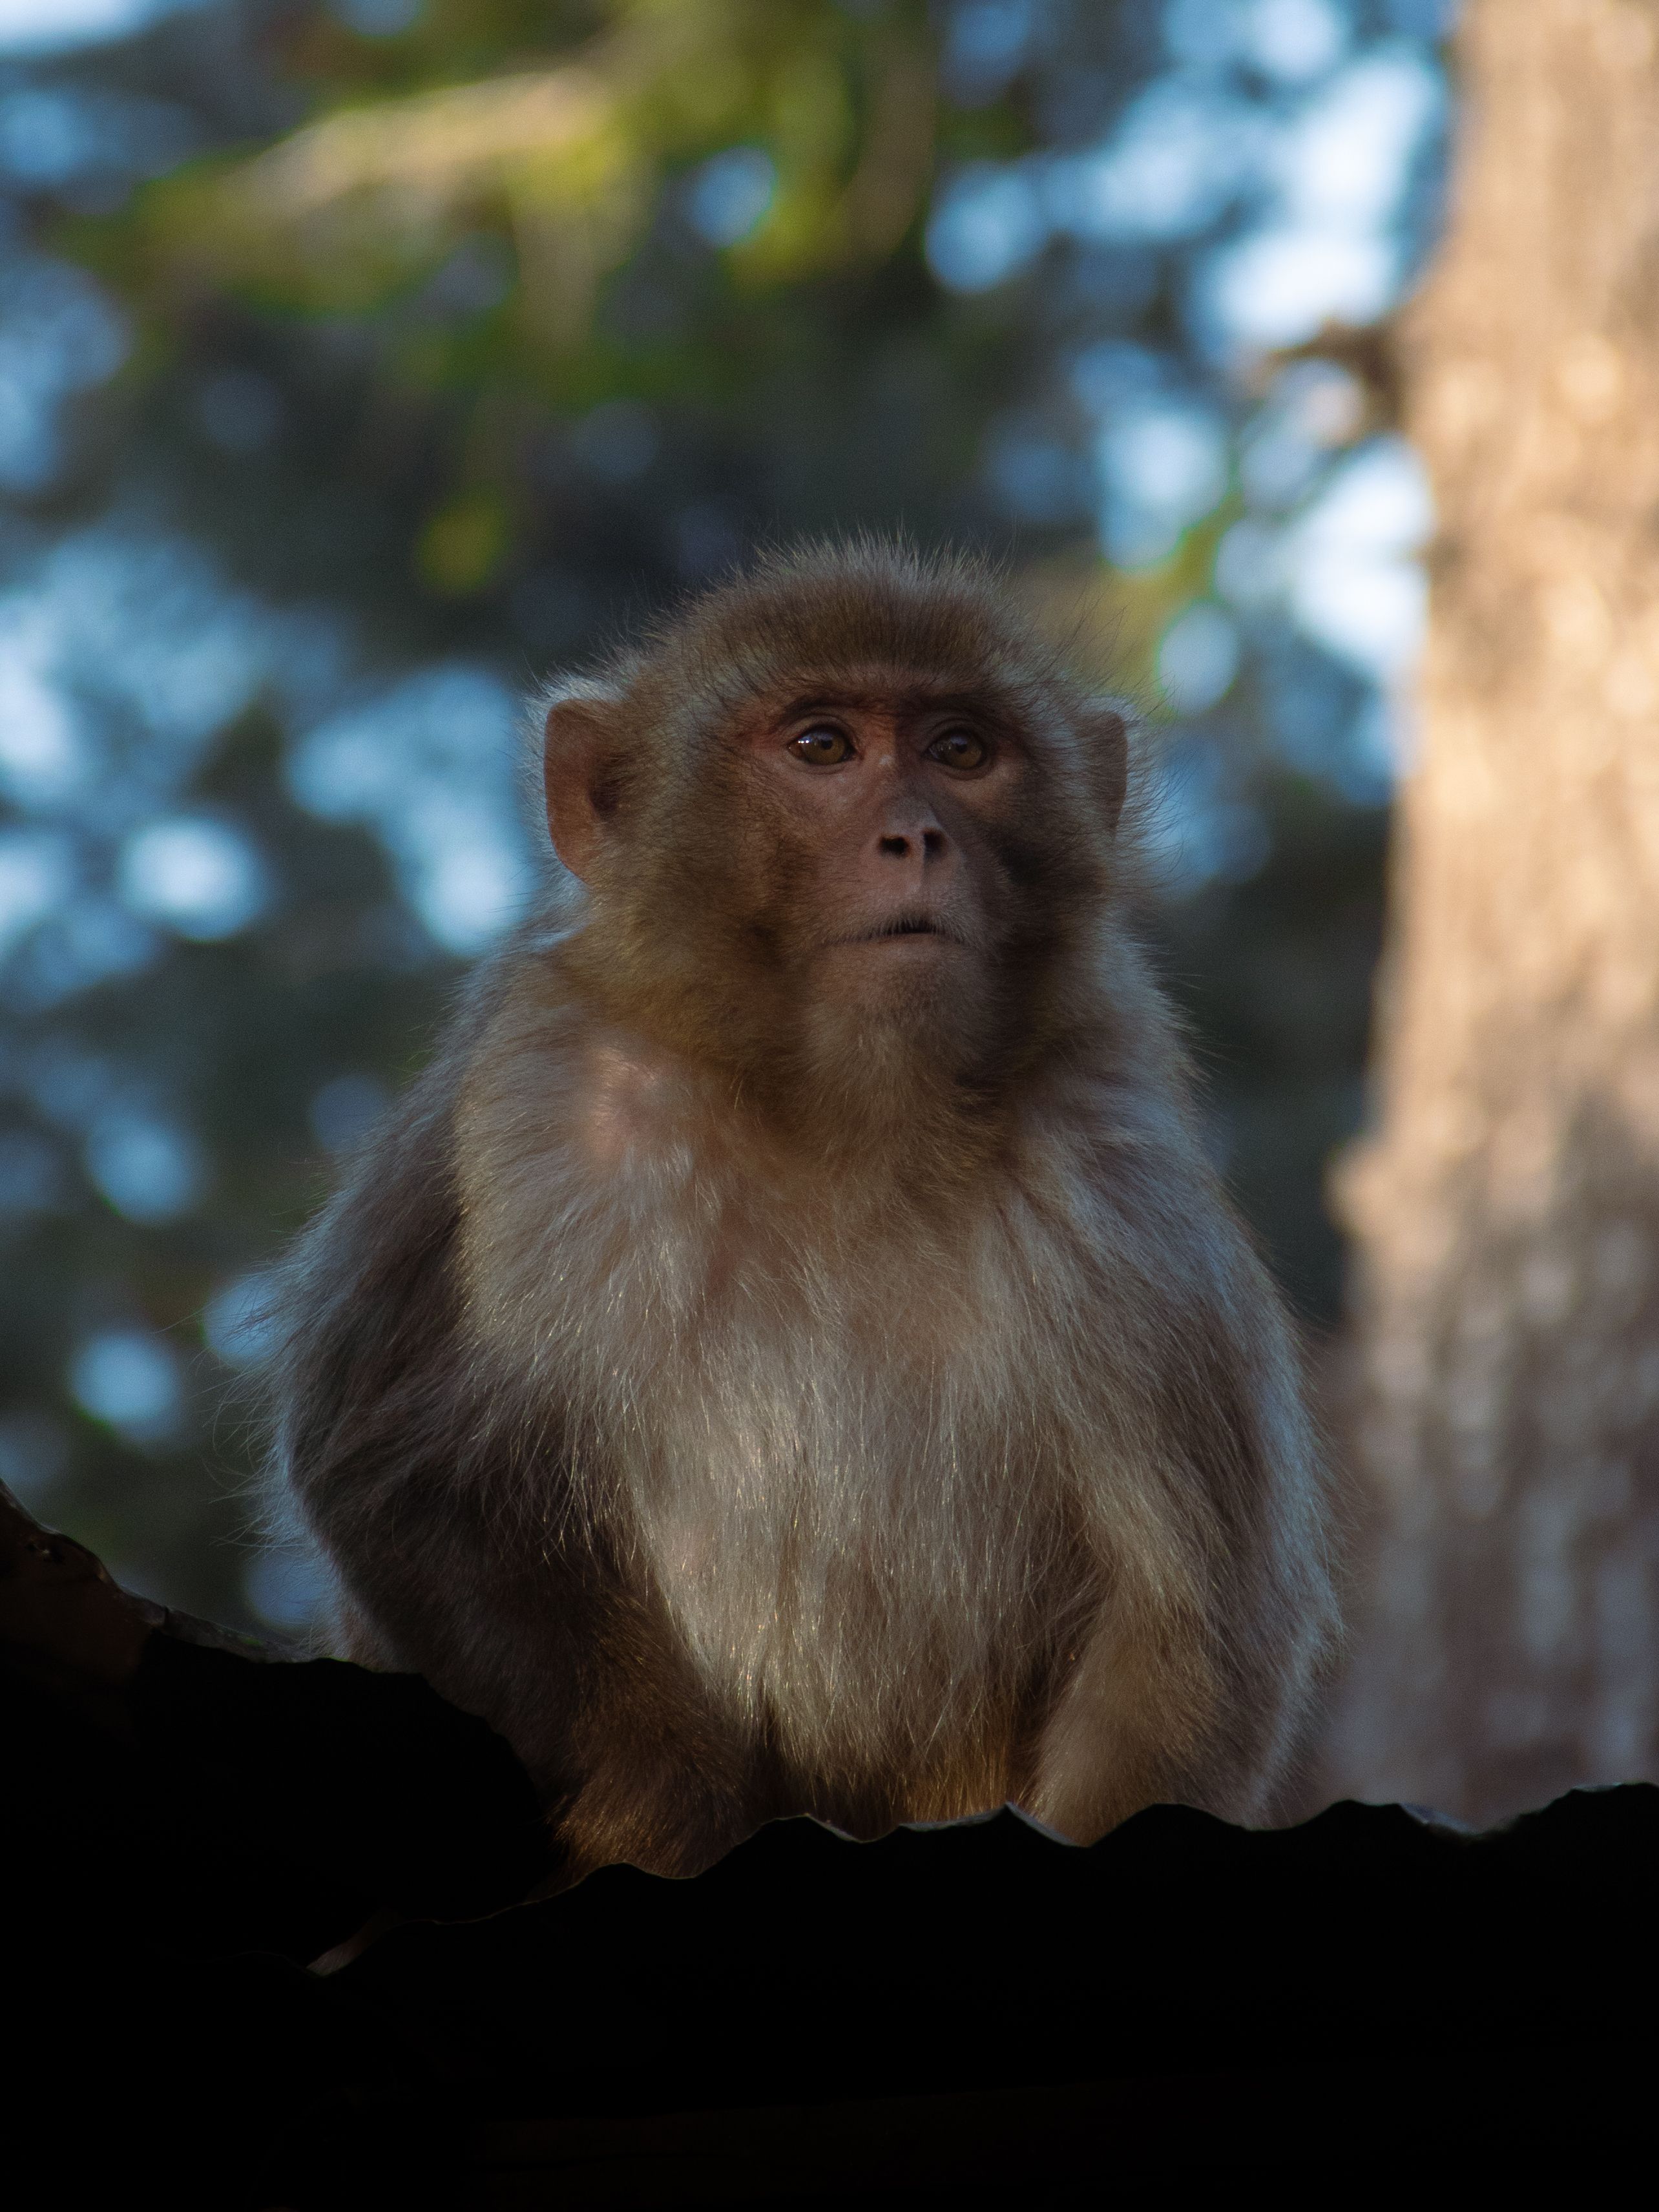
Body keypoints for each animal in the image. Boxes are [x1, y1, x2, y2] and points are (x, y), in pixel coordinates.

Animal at [267, 539, 1338, 1882]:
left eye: (961, 750)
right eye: (822, 746)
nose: (914, 834)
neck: (843, 1119)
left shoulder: (1114, 1150)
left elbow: (1189, 1619)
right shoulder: (534, 1083)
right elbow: (392, 1466)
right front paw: (662, 1806)